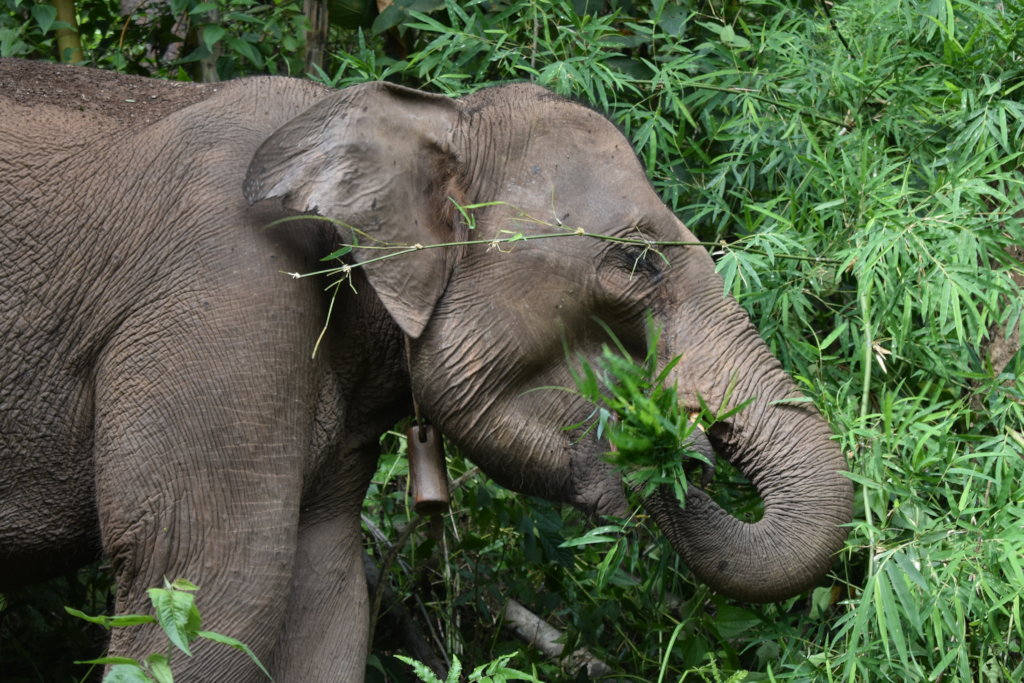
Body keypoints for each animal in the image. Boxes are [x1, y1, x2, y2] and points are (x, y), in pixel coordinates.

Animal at [0, 59, 852, 681]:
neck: (423, 114)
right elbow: (210, 582)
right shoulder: (223, 293)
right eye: (637, 263)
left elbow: (328, 605)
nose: (686, 449)